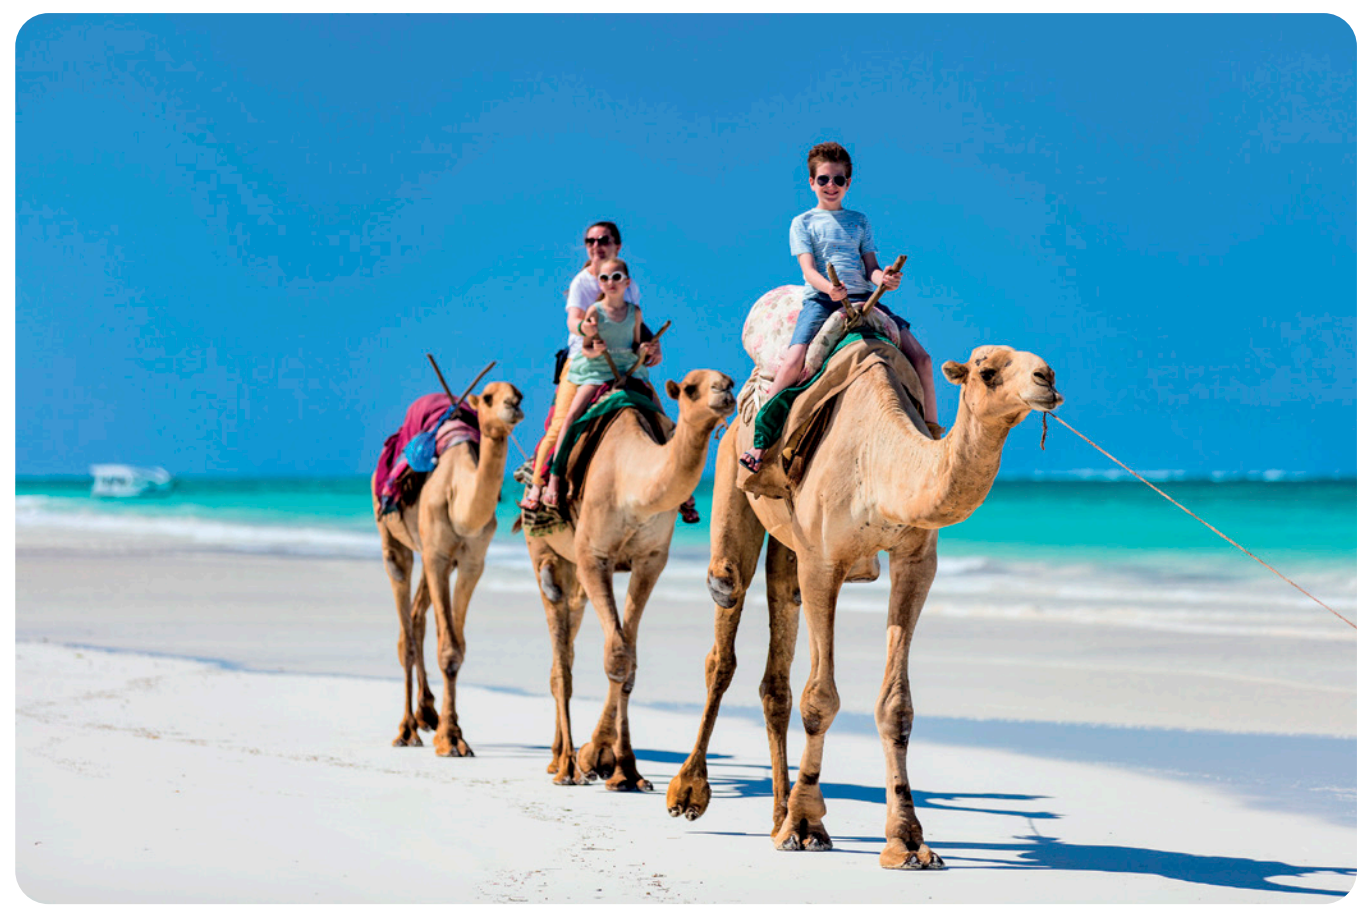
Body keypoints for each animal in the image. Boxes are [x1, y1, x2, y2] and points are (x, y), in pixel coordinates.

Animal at [371, 381, 524, 755]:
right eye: (488, 397)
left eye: (519, 393)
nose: (512, 405)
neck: (459, 498)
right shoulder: (438, 557)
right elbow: (449, 648)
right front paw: (450, 739)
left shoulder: (471, 563)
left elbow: (457, 645)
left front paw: (450, 730)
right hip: (395, 542)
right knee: (405, 635)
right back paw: (407, 730)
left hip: (429, 556)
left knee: (417, 617)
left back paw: (427, 712)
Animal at [524, 369, 735, 789]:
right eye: (691, 388)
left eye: (729, 381)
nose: (724, 392)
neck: (630, 485)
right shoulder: (593, 557)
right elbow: (618, 654)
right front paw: (596, 759)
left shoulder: (650, 560)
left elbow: (630, 657)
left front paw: (623, 769)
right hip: (545, 553)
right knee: (560, 657)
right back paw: (565, 767)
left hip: (573, 572)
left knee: (568, 642)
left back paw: (557, 758)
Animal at [665, 343, 1063, 869]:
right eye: (988, 370)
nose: (1046, 378)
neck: (877, 461)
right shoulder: (822, 562)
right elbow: (820, 698)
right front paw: (806, 826)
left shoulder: (916, 561)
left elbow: (896, 706)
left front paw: (908, 841)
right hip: (734, 479)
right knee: (725, 618)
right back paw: (690, 793)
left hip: (787, 546)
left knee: (777, 663)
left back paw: (776, 815)